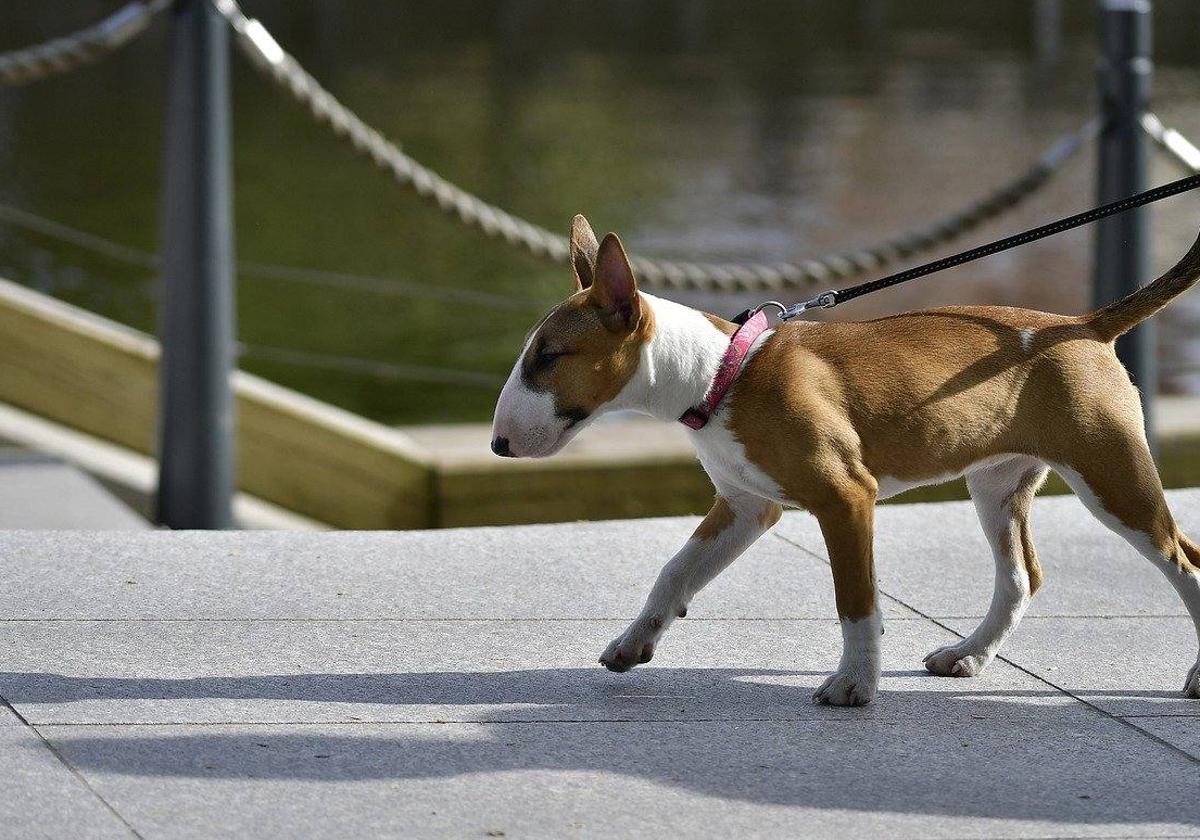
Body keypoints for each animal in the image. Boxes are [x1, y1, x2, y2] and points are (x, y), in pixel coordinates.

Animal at [489, 213, 1200, 705]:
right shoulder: (747, 506)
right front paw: (635, 641)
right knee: (1022, 576)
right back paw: (968, 655)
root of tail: (1084, 324)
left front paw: (854, 685)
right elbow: (675, 571)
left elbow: (855, 598)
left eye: (549, 357)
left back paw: (1193, 672)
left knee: (1183, 559)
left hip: (1111, 474)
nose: (497, 445)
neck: (723, 375)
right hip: (999, 483)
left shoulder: (846, 496)